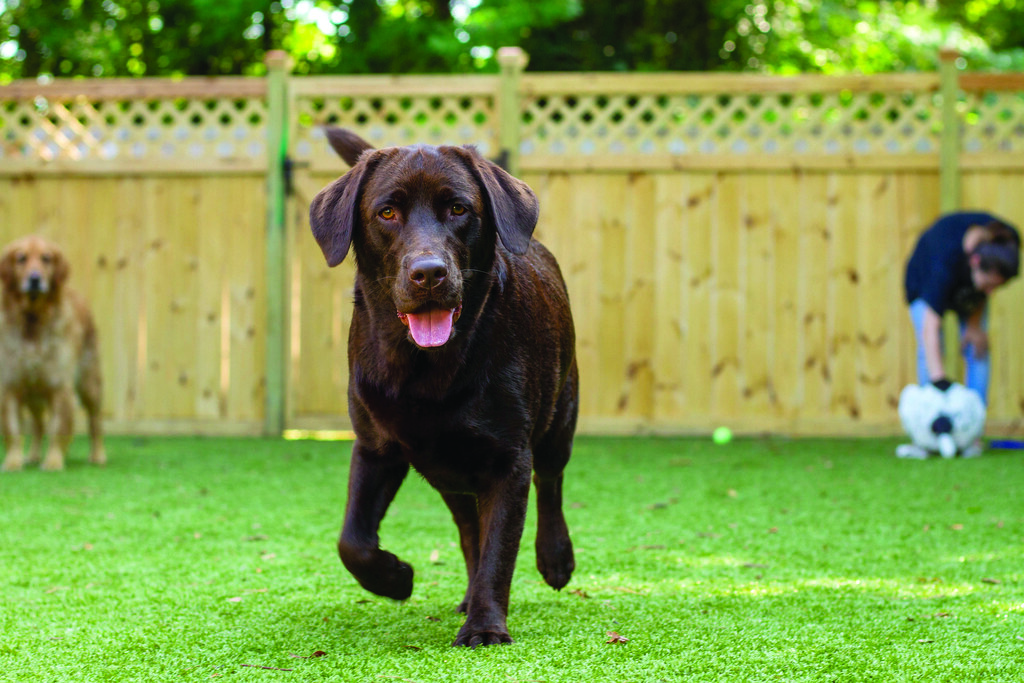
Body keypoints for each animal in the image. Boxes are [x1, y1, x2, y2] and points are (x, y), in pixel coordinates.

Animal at [0, 235, 105, 471]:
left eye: (46, 258)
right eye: (21, 258)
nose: (35, 279)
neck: (33, 319)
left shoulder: (59, 386)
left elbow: (59, 428)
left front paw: (54, 462)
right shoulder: (11, 385)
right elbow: (12, 429)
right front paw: (13, 463)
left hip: (89, 383)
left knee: (95, 420)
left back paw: (98, 455)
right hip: (33, 393)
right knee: (38, 424)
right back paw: (32, 456)